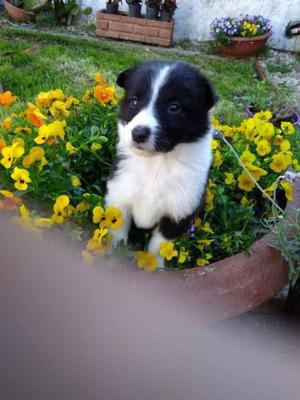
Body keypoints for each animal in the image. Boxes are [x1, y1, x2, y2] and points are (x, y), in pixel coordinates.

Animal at [106, 60, 218, 266]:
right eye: (134, 101)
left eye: (174, 107)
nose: (138, 133)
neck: (157, 162)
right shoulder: (119, 195)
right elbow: (117, 233)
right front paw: (111, 256)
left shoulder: (179, 212)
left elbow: (159, 245)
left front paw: (154, 266)